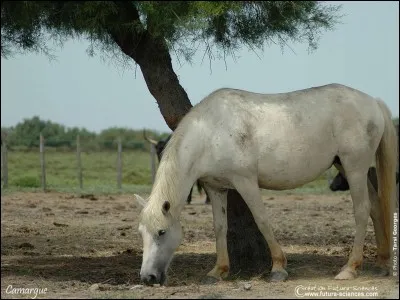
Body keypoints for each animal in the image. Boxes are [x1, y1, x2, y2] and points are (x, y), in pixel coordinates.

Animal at [134, 83, 396, 284]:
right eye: (141, 233)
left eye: (161, 232)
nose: (148, 278)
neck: (210, 131)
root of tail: (373, 102)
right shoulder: (216, 188)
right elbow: (220, 227)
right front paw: (218, 271)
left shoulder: (246, 182)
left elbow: (262, 220)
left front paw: (278, 268)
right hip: (345, 166)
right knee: (375, 206)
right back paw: (382, 263)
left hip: (355, 168)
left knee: (362, 211)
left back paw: (350, 268)